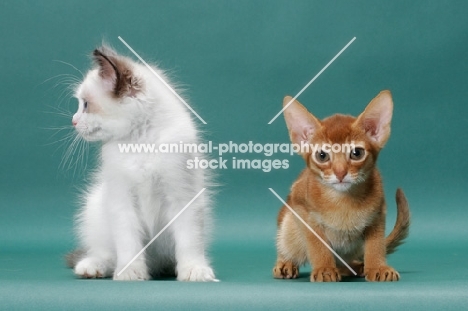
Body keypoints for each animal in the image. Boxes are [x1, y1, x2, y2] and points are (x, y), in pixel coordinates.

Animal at [65, 45, 216, 282]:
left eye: (86, 105)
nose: (73, 121)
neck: (140, 142)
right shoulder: (121, 199)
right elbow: (128, 242)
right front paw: (131, 272)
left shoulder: (184, 197)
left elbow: (189, 241)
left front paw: (194, 270)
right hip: (95, 206)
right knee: (106, 253)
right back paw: (92, 267)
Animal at [274, 90, 410, 282]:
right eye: (322, 155)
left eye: (357, 153)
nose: (340, 172)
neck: (342, 201)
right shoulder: (300, 205)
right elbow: (317, 244)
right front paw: (324, 268)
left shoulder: (378, 213)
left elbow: (376, 245)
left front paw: (378, 266)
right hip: (288, 224)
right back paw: (286, 263)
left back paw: (354, 267)